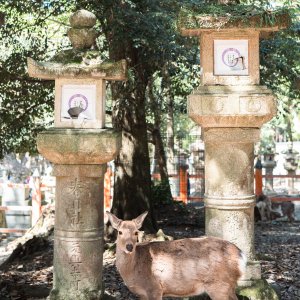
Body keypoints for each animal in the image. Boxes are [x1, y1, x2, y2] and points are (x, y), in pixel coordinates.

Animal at [106, 211, 247, 300]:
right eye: (120, 232)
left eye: (136, 232)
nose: (129, 247)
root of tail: (241, 255)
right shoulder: (142, 294)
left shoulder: (154, 288)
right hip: (228, 286)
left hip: (219, 285)